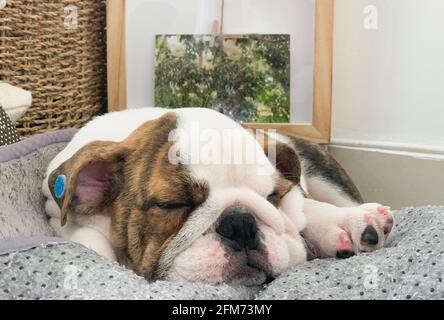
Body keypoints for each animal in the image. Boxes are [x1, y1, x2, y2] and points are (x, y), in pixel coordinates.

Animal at [42, 107, 396, 284]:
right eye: (173, 204)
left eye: (273, 196)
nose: (241, 223)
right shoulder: (59, 216)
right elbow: (89, 240)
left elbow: (303, 211)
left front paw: (344, 223)